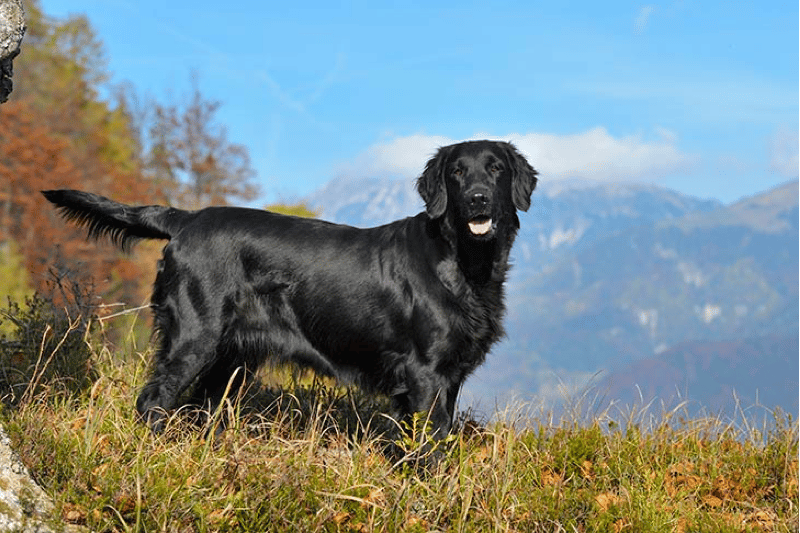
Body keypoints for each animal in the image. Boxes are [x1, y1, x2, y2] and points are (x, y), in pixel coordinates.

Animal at [42, 139, 536, 438]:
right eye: (457, 172)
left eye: (495, 169)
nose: (477, 199)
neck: (465, 263)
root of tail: (186, 218)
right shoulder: (425, 373)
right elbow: (428, 447)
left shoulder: (450, 376)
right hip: (195, 337)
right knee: (153, 400)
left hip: (230, 360)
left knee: (198, 407)